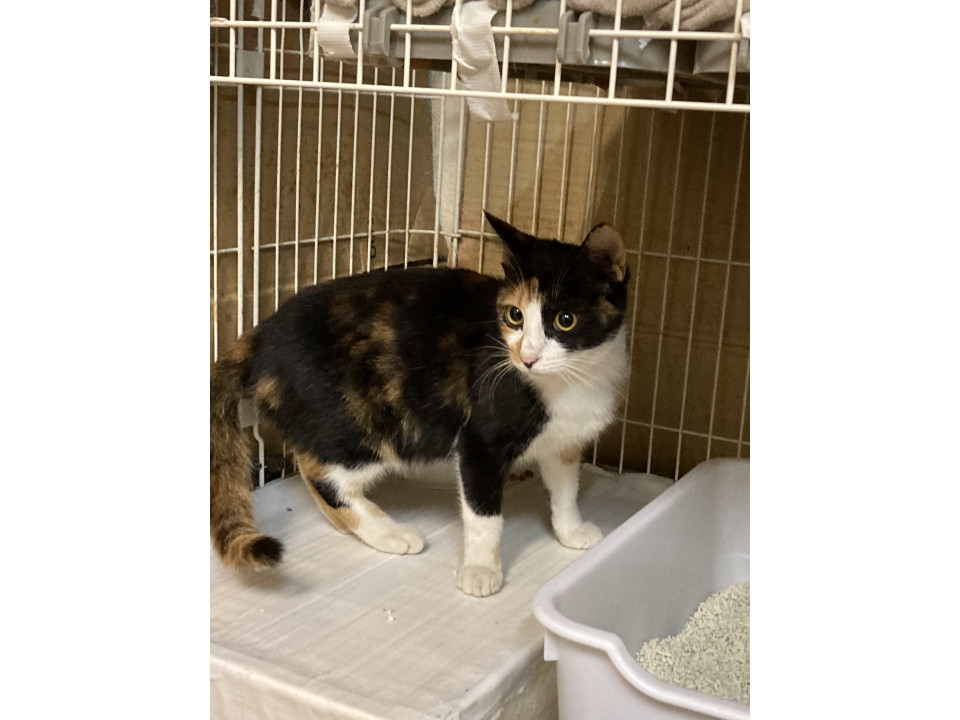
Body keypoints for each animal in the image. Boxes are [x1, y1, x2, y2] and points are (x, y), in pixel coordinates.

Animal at [210, 212, 630, 597]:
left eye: (565, 319)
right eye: (515, 316)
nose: (527, 358)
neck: (571, 379)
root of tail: (262, 334)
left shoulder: (565, 439)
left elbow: (565, 487)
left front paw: (571, 530)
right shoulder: (480, 442)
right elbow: (483, 514)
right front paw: (480, 570)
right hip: (370, 425)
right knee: (318, 471)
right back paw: (388, 532)